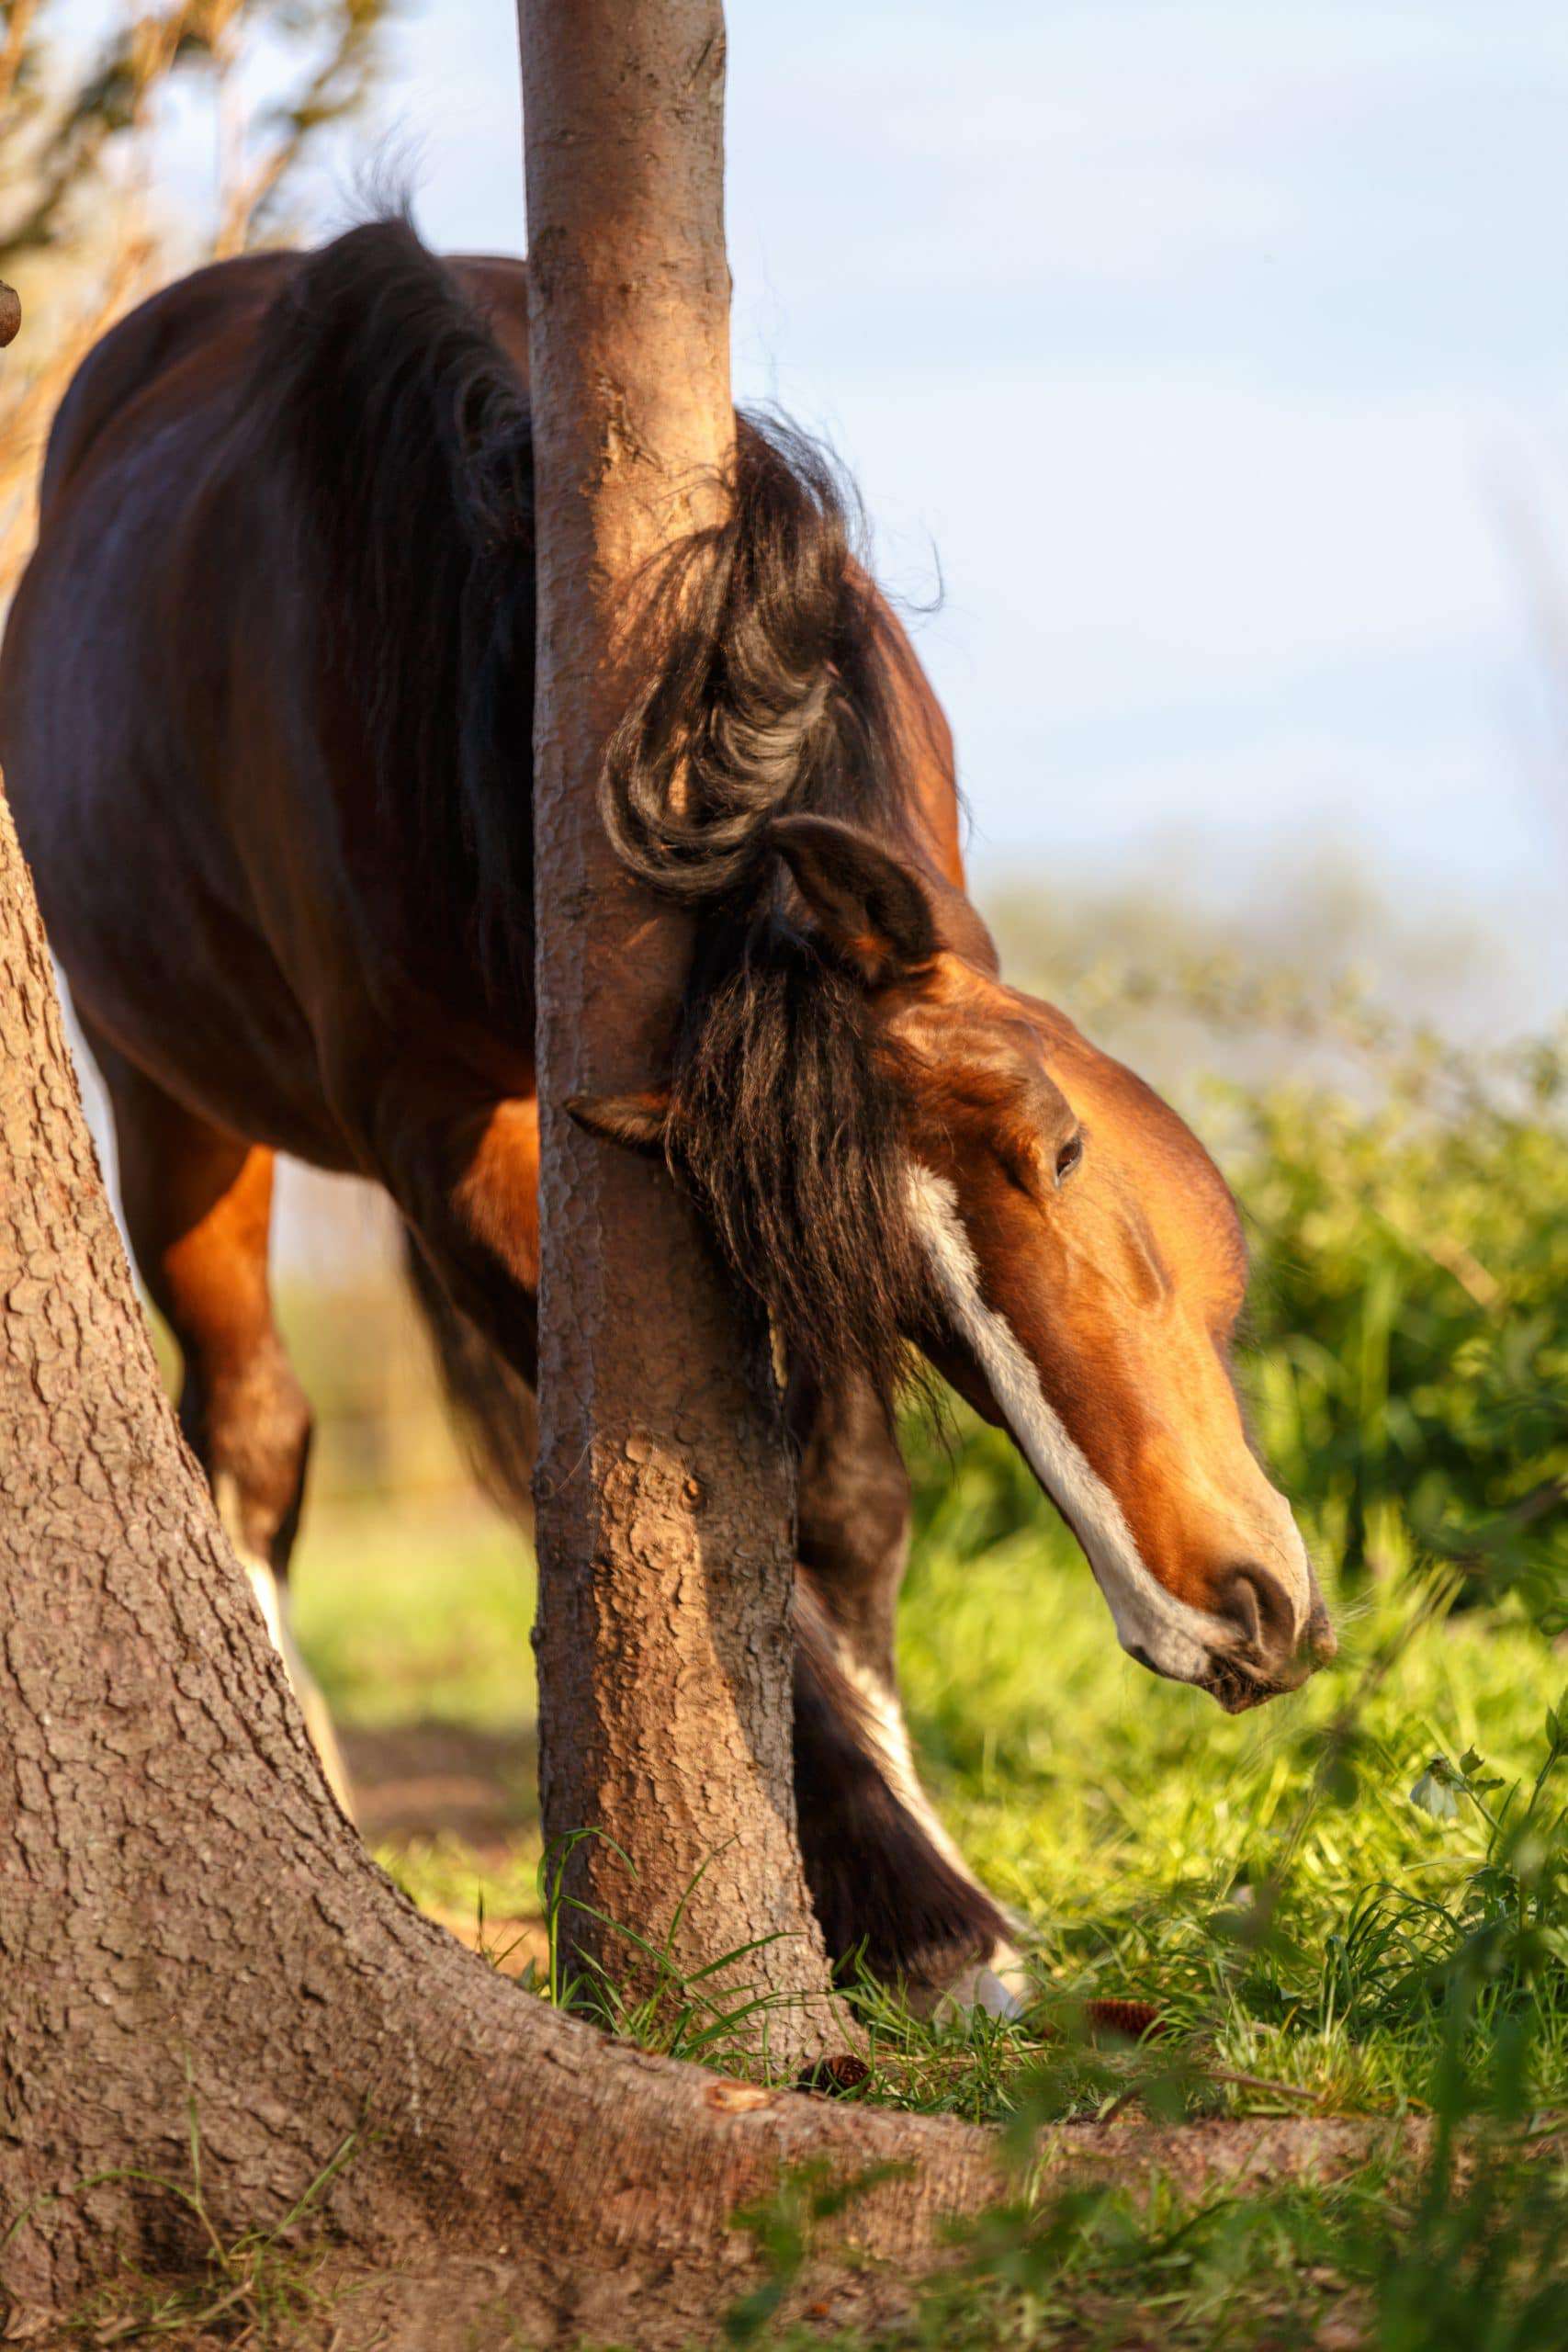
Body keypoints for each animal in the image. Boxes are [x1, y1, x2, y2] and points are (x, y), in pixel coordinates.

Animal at [0, 220, 1335, 2013]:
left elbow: (840, 1508)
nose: (1220, 1618)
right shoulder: (449, 1141)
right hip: (168, 1101)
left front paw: (920, 1854)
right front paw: (926, 1919)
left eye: (1058, 1150)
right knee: (256, 1427)